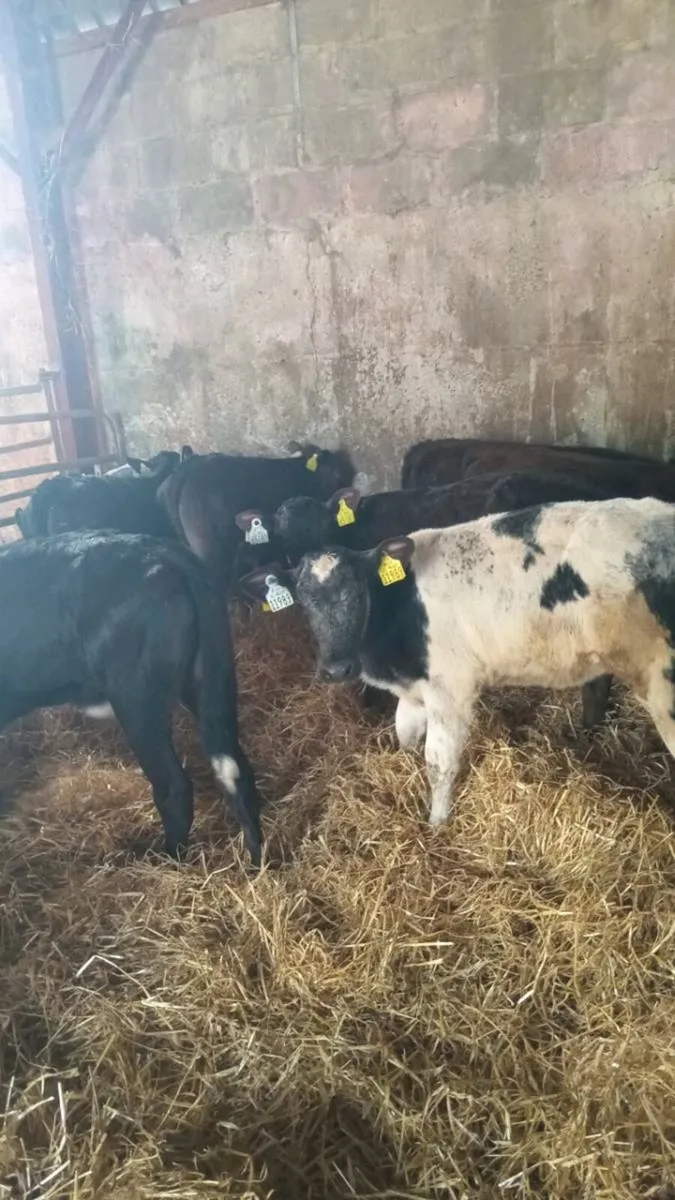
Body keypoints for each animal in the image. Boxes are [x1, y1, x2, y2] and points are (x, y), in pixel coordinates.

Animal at [0, 531, 262, 863]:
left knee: (174, 787)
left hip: (136, 701)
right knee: (235, 769)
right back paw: (257, 862)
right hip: (208, 678)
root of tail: (161, 550)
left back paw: (167, 859)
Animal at [241, 496, 675, 828]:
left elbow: (439, 761)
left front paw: (436, 823)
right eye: (303, 599)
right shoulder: (413, 689)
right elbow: (404, 733)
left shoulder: (449, 690)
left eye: (358, 591)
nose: (336, 670)